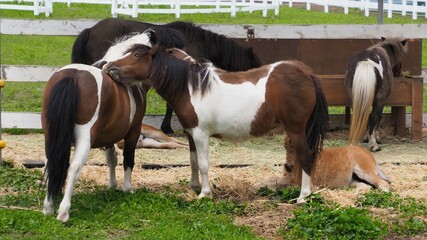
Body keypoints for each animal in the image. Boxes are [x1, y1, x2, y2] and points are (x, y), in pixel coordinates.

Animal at [41, 63, 146, 221]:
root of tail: (73, 76)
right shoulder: (133, 133)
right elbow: (128, 160)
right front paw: (127, 188)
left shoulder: (109, 138)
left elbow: (111, 160)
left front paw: (112, 185)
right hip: (85, 138)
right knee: (74, 168)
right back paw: (64, 211)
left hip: (50, 135)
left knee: (50, 164)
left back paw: (48, 206)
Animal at [103, 33, 332, 202]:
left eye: (136, 56)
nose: (109, 68)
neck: (191, 88)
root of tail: (305, 74)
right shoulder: (190, 134)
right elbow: (193, 161)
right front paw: (194, 186)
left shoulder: (201, 135)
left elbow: (204, 163)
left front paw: (205, 193)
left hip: (296, 130)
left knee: (306, 157)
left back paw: (303, 196)